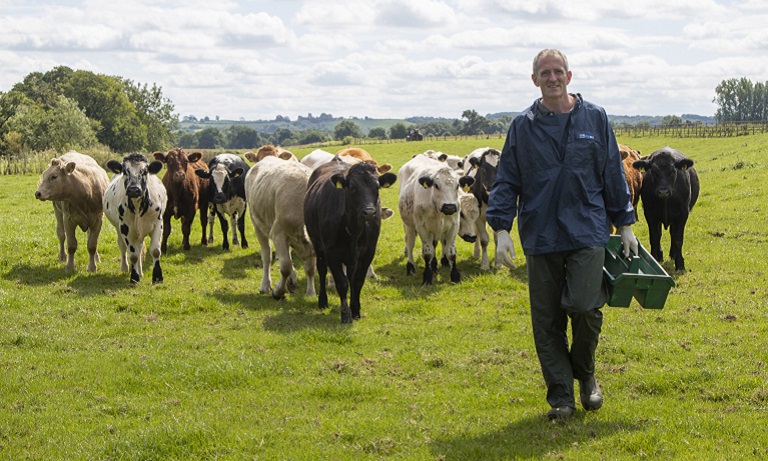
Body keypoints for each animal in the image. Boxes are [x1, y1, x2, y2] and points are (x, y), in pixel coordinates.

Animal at [243, 155, 316, 298]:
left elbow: (310, 269)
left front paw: (310, 292)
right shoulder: (278, 234)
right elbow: (285, 266)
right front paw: (278, 292)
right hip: (257, 224)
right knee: (266, 255)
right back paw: (265, 285)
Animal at [302, 158, 396, 324]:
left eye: (377, 186)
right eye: (352, 187)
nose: (369, 212)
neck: (353, 228)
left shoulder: (368, 251)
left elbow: (357, 281)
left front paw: (356, 310)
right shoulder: (331, 251)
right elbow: (342, 282)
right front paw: (346, 314)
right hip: (318, 243)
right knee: (322, 268)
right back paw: (323, 301)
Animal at [396, 153, 474, 282]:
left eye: (458, 185)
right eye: (436, 185)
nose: (449, 207)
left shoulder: (453, 226)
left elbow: (451, 252)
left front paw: (455, 276)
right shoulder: (422, 228)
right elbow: (428, 253)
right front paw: (427, 277)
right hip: (409, 226)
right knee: (410, 244)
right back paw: (411, 267)